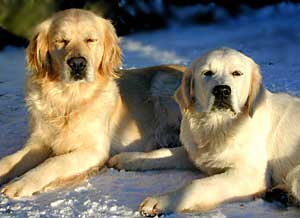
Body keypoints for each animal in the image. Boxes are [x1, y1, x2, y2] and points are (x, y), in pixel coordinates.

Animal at [0, 8, 185, 198]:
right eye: (61, 41)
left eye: (90, 40)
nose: (77, 63)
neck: (69, 100)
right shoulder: (39, 142)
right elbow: (9, 161)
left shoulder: (94, 150)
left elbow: (53, 162)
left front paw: (21, 183)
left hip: (163, 81)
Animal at [109, 47, 300, 216]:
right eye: (207, 73)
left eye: (237, 73)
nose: (222, 90)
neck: (217, 125)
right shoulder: (194, 154)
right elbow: (159, 153)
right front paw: (127, 158)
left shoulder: (250, 175)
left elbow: (196, 185)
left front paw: (161, 201)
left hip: (295, 175)